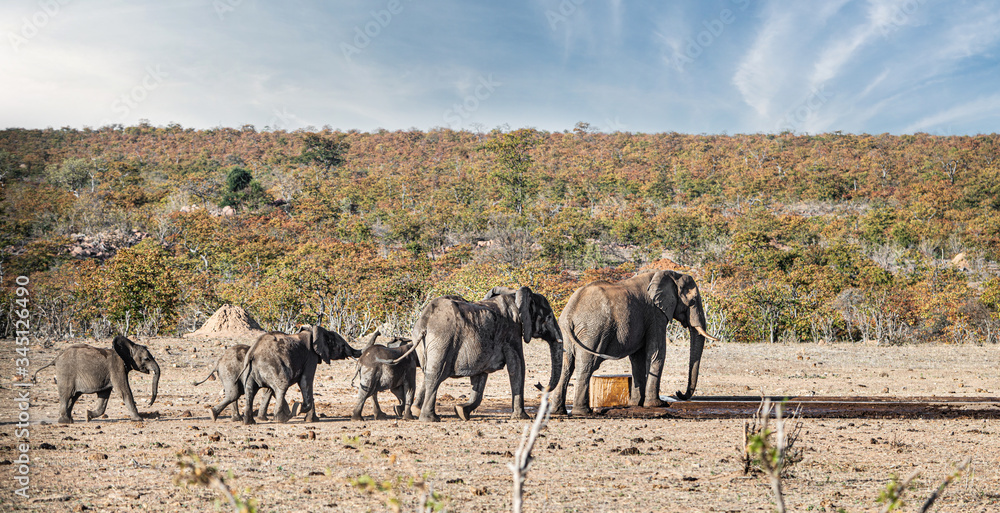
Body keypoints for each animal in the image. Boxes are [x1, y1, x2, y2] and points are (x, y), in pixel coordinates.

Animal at [411, 286, 563, 422]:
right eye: (549, 316)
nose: (538, 383)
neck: (514, 294)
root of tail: (424, 322)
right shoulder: (512, 330)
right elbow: (518, 365)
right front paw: (522, 418)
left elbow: (481, 375)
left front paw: (461, 411)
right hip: (443, 340)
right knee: (436, 374)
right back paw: (430, 419)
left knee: (429, 372)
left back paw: (416, 411)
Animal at [551, 270, 718, 416]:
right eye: (692, 301)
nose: (678, 392)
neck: (670, 274)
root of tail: (569, 313)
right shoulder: (655, 314)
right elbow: (657, 353)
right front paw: (656, 404)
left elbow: (637, 358)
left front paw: (636, 404)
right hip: (592, 331)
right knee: (586, 364)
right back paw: (583, 412)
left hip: (567, 334)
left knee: (566, 366)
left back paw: (558, 412)